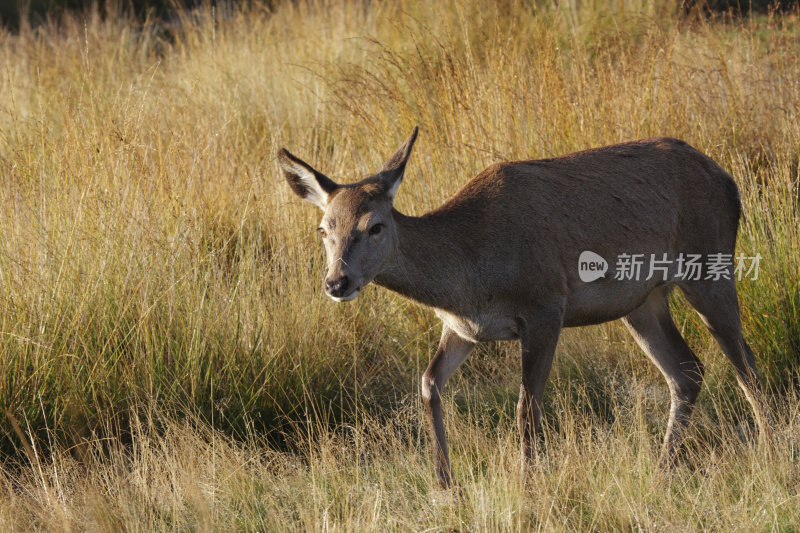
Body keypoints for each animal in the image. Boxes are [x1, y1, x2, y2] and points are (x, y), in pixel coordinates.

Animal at [280, 125, 768, 486]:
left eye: (375, 226)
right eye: (324, 228)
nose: (337, 282)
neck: (471, 272)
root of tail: (728, 181)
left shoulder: (545, 306)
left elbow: (525, 408)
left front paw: (528, 484)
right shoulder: (461, 328)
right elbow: (428, 384)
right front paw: (445, 484)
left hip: (710, 263)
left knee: (745, 365)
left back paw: (769, 452)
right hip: (643, 301)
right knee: (687, 370)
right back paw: (663, 472)